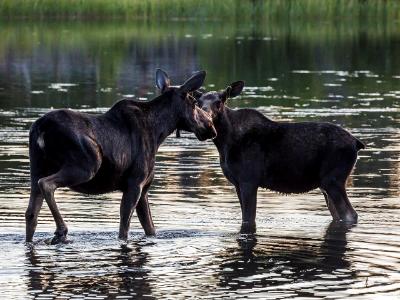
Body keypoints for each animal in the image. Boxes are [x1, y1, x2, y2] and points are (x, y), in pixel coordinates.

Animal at [26, 68, 217, 244]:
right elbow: (124, 228)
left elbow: (150, 229)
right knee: (46, 184)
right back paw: (61, 231)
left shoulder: (144, 189)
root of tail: (41, 128)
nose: (211, 128)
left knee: (31, 213)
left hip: (37, 167)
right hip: (86, 165)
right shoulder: (134, 183)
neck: (160, 131)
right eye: (194, 102)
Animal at [195, 81, 364, 234]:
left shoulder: (249, 181)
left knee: (350, 214)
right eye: (198, 102)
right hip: (325, 185)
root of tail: (357, 143)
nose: (204, 119)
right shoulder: (237, 183)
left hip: (333, 180)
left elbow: (249, 218)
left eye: (219, 101)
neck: (224, 144)